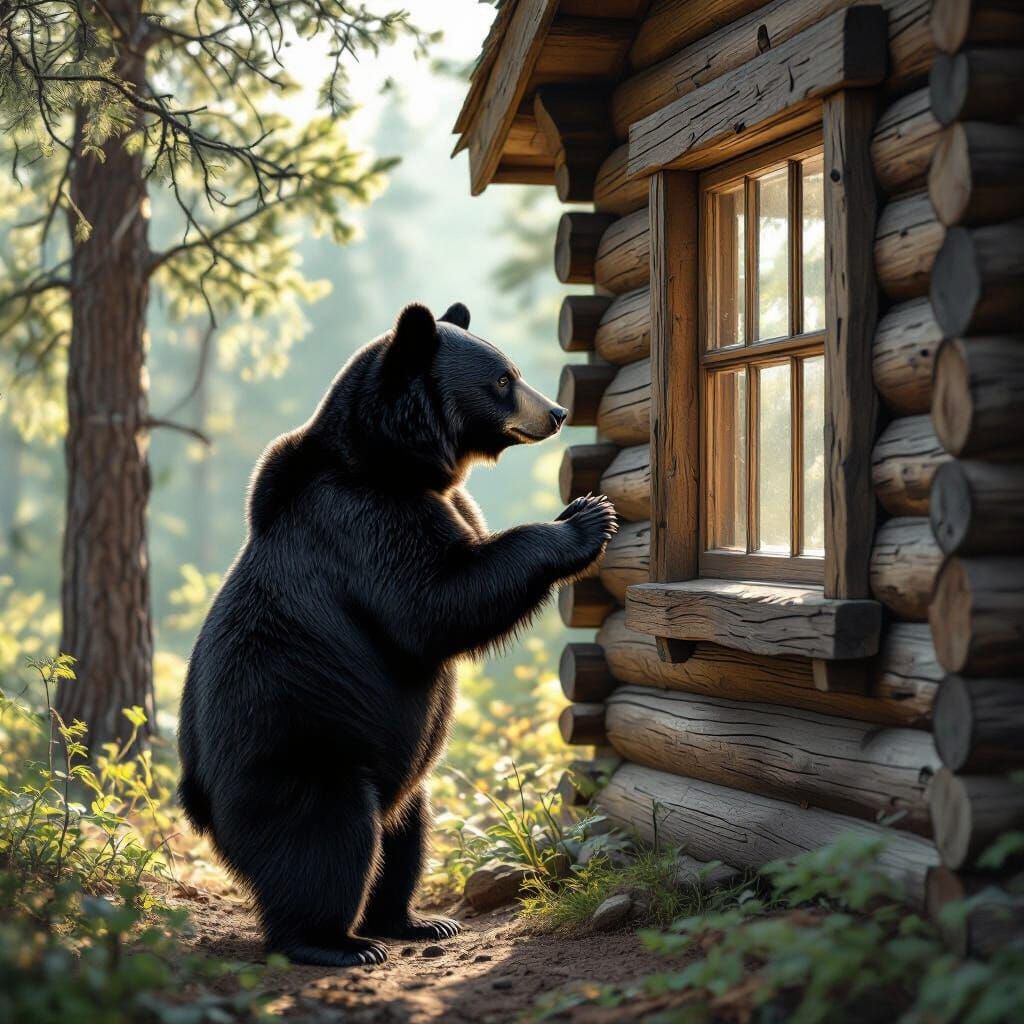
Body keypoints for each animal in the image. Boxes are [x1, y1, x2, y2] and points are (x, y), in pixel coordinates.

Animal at [177, 301, 617, 968]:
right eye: (503, 379)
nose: (556, 412)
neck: (399, 464)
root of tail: (198, 801)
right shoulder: (363, 522)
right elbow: (434, 601)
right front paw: (586, 517)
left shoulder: (442, 500)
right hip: (301, 751)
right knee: (325, 841)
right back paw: (335, 942)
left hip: (401, 782)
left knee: (406, 836)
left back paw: (417, 920)